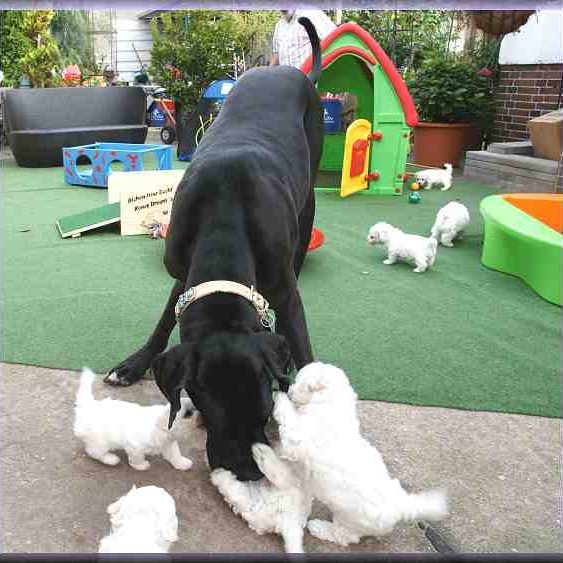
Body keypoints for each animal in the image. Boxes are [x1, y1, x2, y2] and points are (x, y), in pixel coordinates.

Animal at [274, 364, 450, 548]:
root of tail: (399, 505)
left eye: (297, 382)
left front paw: (279, 398)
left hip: (349, 520)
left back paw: (319, 528)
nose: (289, 391)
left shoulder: (297, 440)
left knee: (344, 536)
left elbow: (288, 419)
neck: (331, 407)